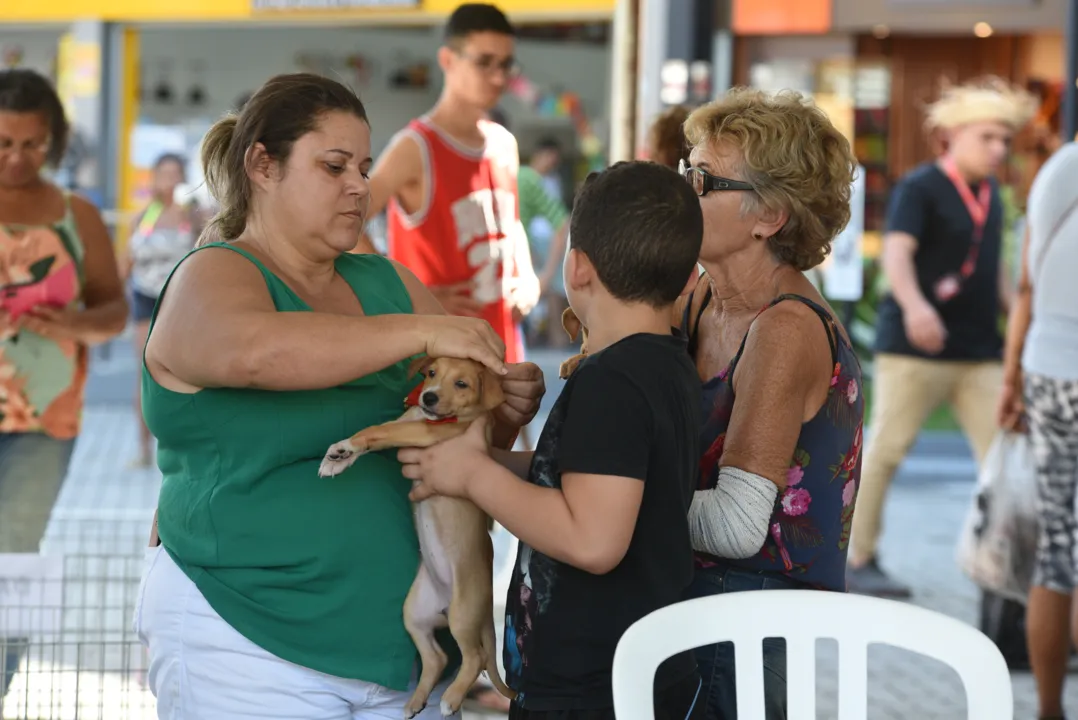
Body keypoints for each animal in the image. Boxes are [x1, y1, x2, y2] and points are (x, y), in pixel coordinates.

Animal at [316, 357, 515, 715]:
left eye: (462, 383)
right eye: (432, 373)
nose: (429, 397)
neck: (431, 418)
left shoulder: (422, 432)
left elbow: (378, 430)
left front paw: (345, 447)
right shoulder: (408, 423)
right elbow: (378, 433)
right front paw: (339, 458)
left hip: (462, 613)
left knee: (475, 656)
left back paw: (450, 699)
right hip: (414, 613)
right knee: (437, 658)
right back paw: (416, 701)